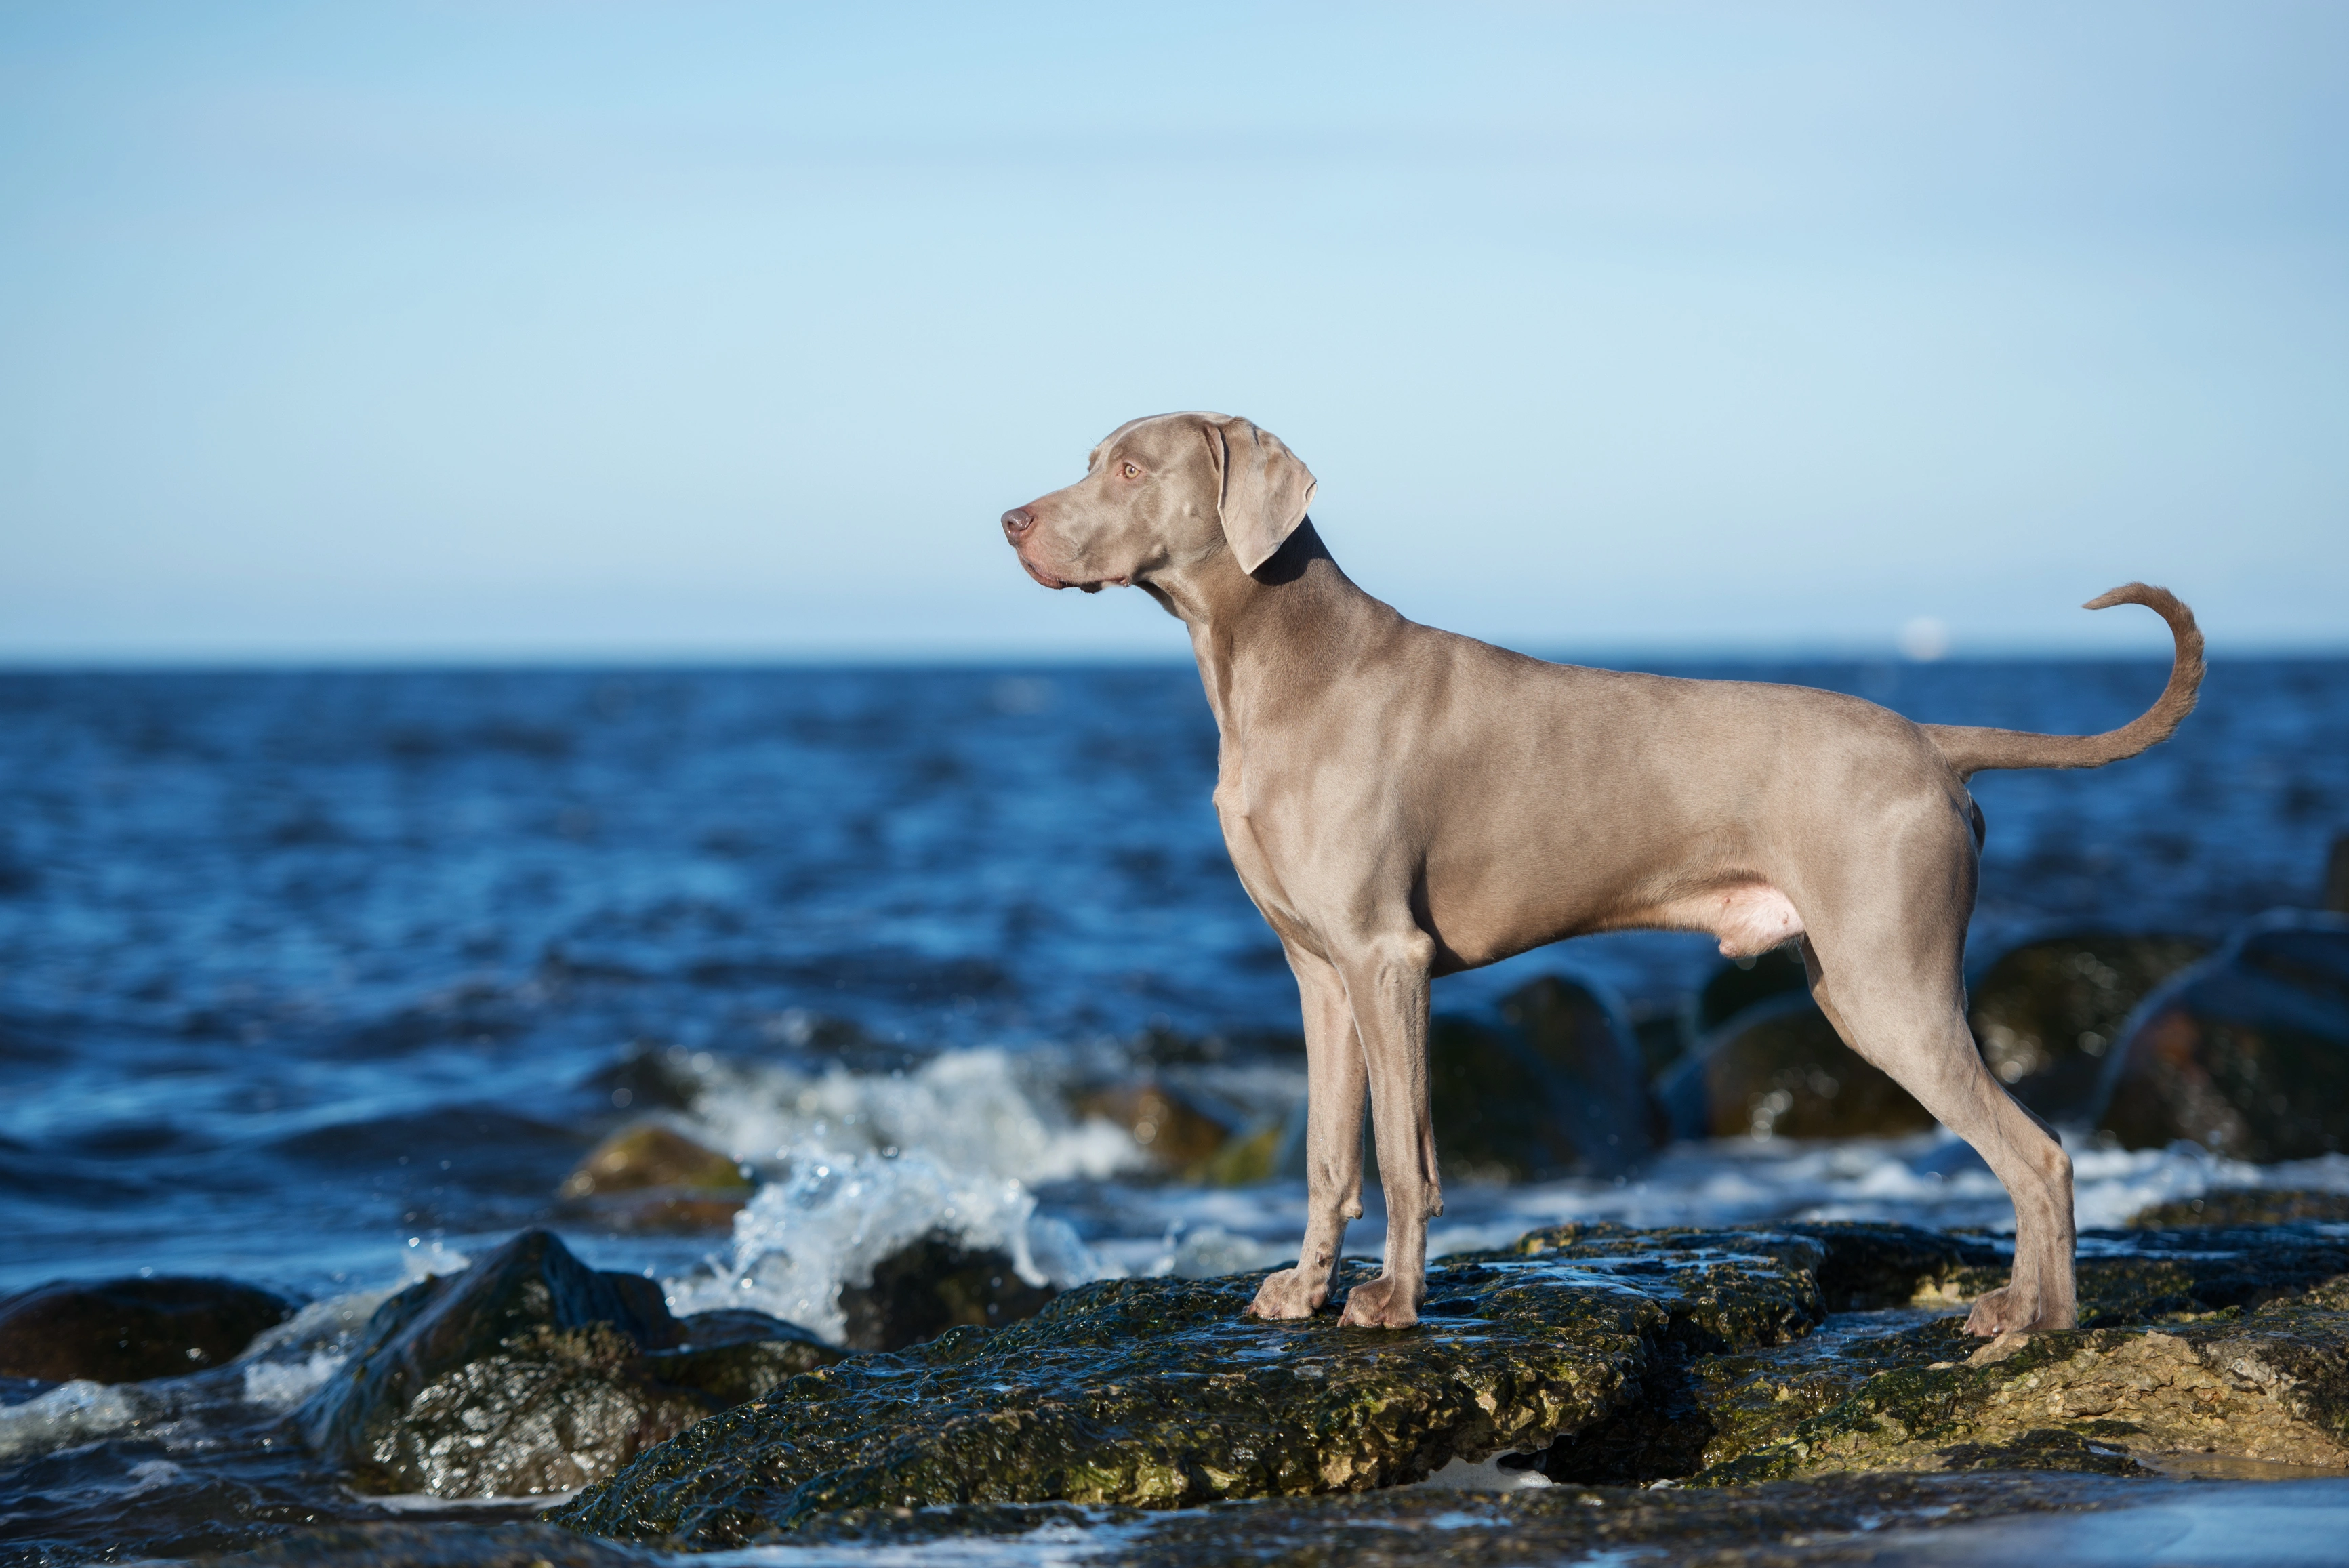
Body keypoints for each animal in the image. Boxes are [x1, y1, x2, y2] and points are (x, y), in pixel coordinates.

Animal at [996, 408, 2199, 1333]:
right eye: (1092, 454)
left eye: (1132, 468)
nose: (1011, 520)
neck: (1275, 665)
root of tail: (1928, 740)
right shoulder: (1318, 972)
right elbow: (1330, 1155)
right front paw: (1302, 1290)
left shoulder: (1388, 958)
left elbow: (1404, 1154)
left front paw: (1391, 1304)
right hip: (1858, 983)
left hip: (1886, 982)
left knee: (2038, 1152)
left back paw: (2036, 1323)